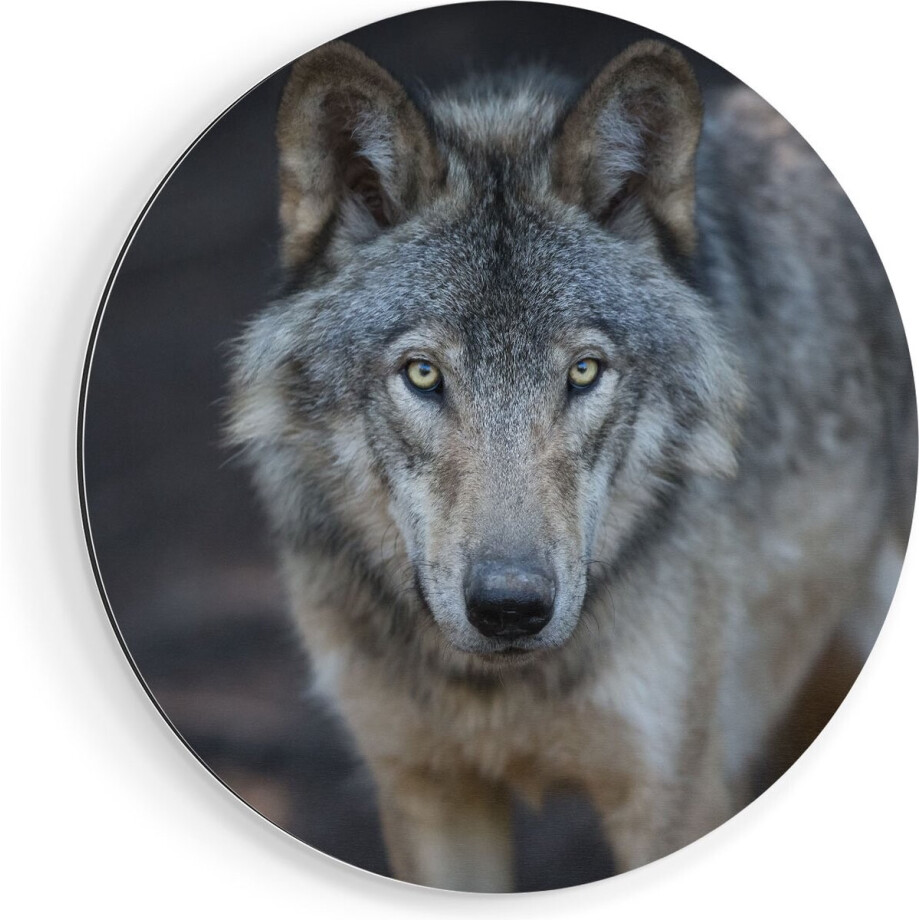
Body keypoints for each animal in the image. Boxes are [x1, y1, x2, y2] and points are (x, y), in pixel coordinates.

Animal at [227, 39, 916, 891]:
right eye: (423, 374)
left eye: (583, 372)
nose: (510, 608)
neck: (498, 689)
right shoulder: (430, 795)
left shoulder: (671, 794)